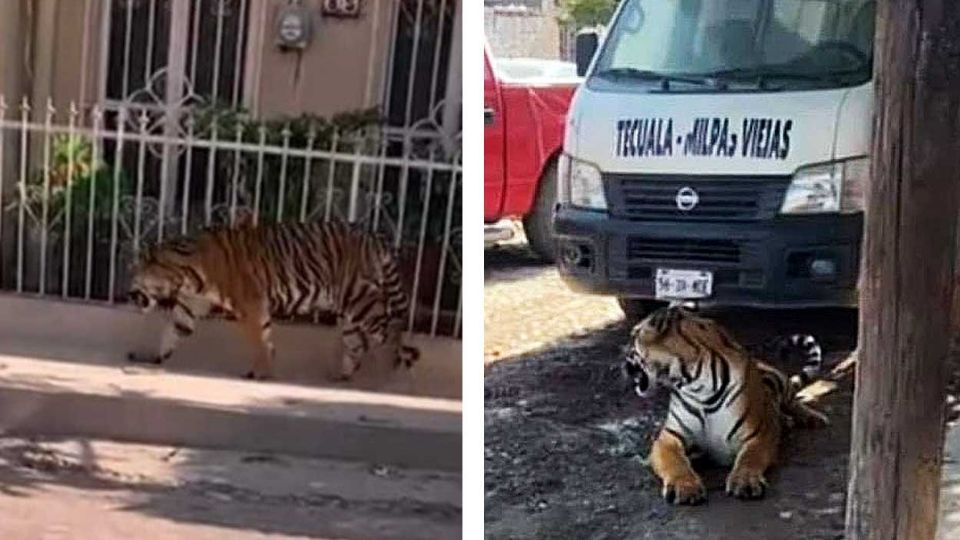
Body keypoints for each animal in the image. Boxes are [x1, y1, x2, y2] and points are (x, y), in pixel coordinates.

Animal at [124, 218, 420, 380]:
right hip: (348, 312)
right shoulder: (191, 305)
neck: (185, 273)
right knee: (357, 343)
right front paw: (154, 358)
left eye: (135, 274)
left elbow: (259, 339)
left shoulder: (251, 305)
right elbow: (172, 330)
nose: (128, 293)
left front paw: (259, 373)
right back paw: (342, 376)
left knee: (390, 331)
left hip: (360, 300)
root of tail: (375, 236)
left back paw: (387, 374)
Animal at [624, 306, 824, 504]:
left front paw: (745, 481)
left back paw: (812, 418)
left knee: (793, 401)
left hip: (778, 378)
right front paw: (685, 487)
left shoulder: (759, 434)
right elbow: (675, 462)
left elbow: (750, 458)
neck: (694, 383)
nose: (624, 360)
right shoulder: (669, 437)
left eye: (633, 335)